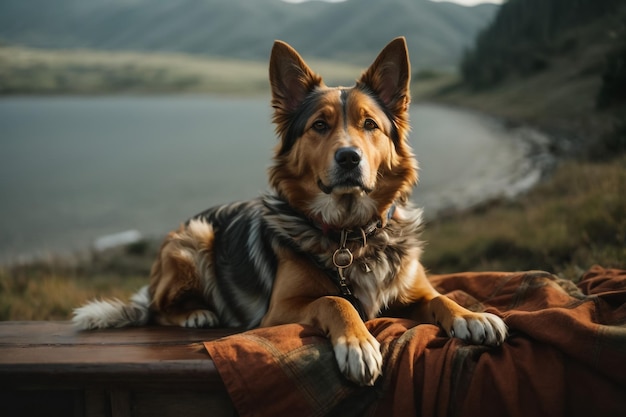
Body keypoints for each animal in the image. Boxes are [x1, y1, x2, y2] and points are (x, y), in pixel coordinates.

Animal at [73, 37, 504, 386]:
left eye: (369, 125)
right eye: (319, 126)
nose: (349, 158)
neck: (349, 232)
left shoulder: (412, 290)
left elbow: (440, 297)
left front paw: (471, 316)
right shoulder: (278, 312)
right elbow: (336, 300)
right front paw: (357, 343)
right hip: (195, 236)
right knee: (158, 309)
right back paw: (196, 313)